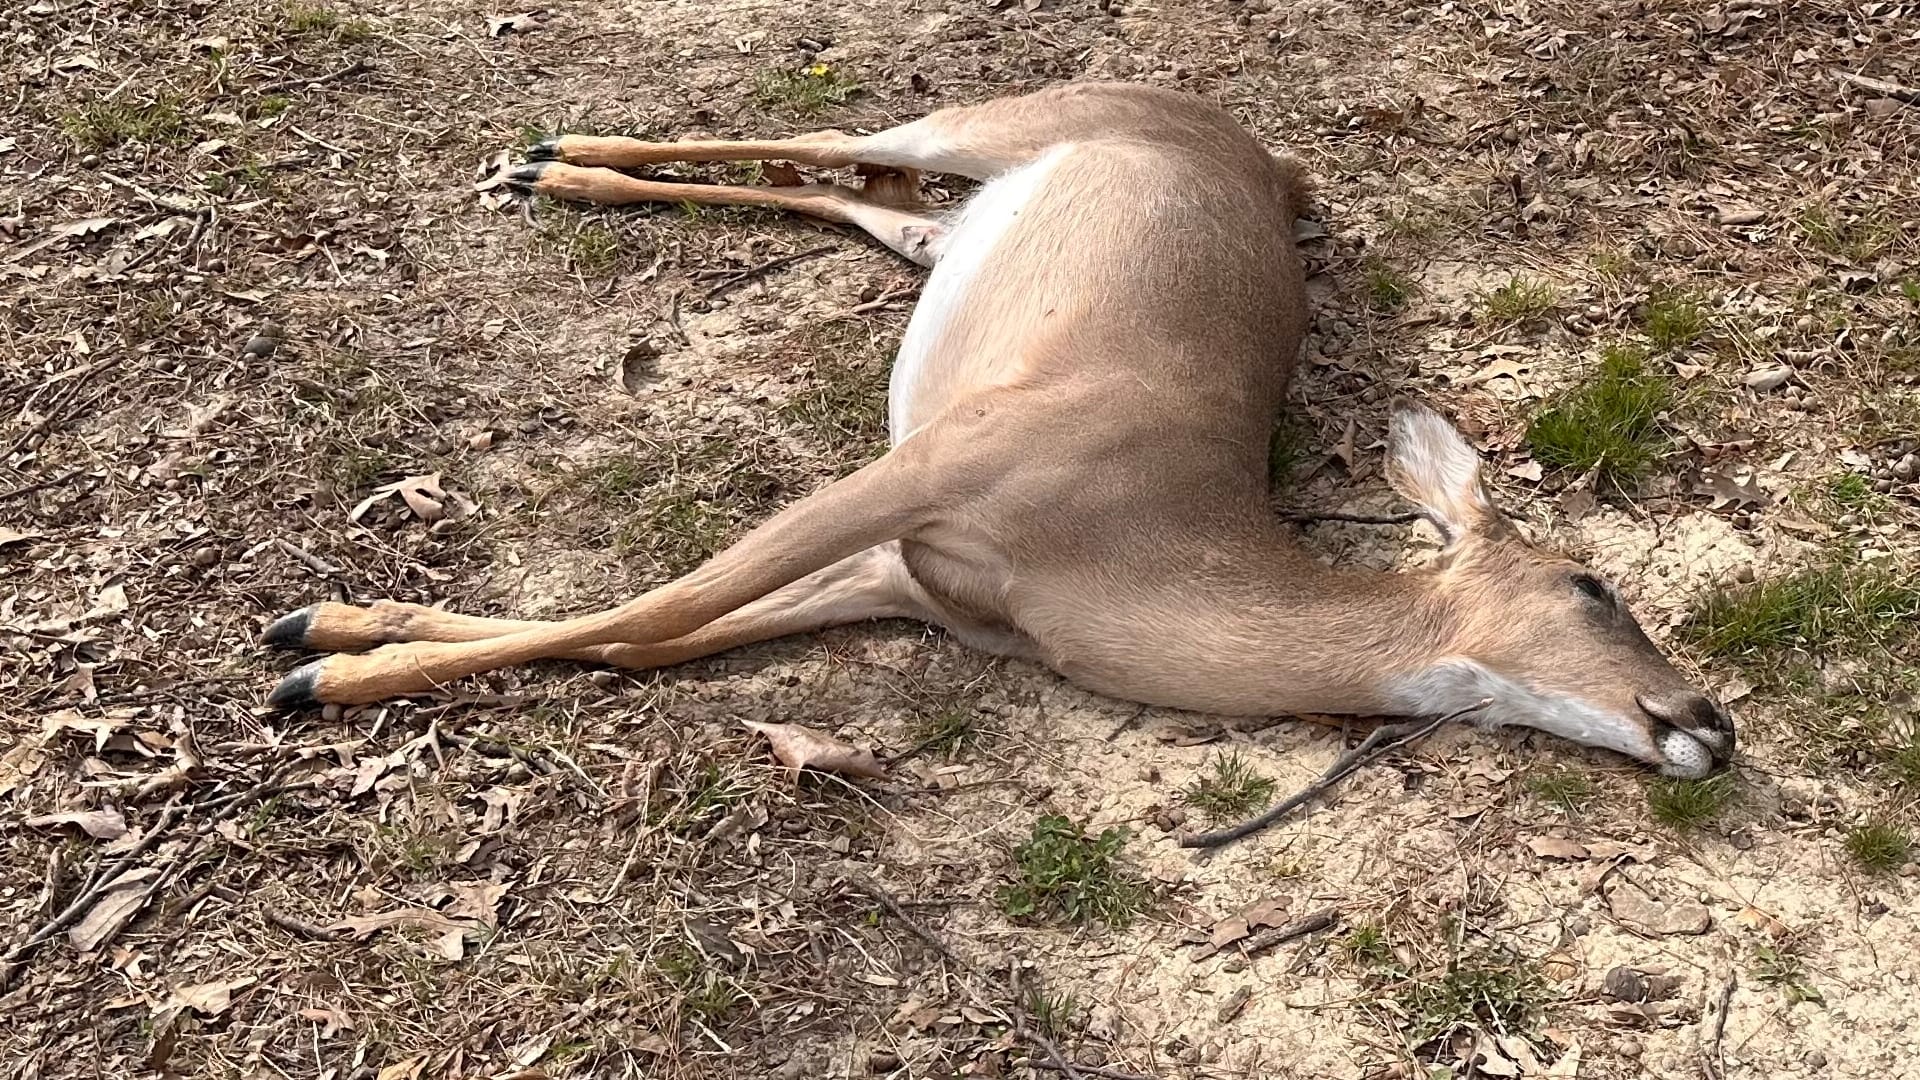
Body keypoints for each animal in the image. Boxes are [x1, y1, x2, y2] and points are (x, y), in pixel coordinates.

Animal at [261, 83, 1735, 779]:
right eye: (1594, 585)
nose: (1710, 722)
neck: (1120, 555)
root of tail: (1271, 158)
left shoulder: (914, 586)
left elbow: (645, 639)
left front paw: (338, 634)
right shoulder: (929, 465)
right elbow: (664, 601)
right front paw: (322, 659)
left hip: (941, 230)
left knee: (858, 198)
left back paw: (557, 170)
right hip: (1003, 116)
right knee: (833, 138)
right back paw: (552, 154)